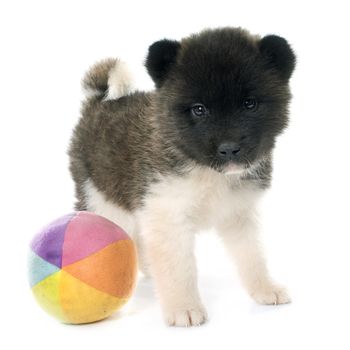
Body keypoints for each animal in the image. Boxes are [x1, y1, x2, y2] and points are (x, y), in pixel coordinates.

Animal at [68, 28, 296, 328]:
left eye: (250, 104)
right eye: (199, 109)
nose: (229, 149)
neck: (207, 171)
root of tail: (98, 102)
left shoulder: (239, 214)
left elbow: (252, 255)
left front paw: (265, 288)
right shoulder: (168, 215)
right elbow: (179, 268)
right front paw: (183, 307)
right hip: (100, 199)